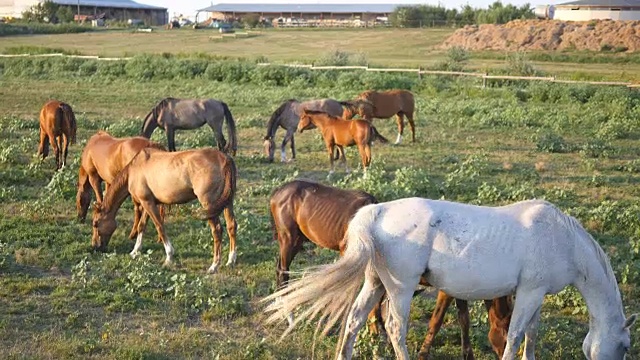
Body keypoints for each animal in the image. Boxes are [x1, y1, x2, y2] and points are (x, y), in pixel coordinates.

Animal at [92, 146, 238, 272]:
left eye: (96, 223)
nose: (96, 247)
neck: (135, 168)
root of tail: (224, 158)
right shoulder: (149, 202)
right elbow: (141, 225)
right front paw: (135, 251)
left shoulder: (147, 203)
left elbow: (159, 226)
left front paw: (169, 256)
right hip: (227, 204)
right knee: (231, 226)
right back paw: (231, 260)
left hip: (208, 204)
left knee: (217, 230)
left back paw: (214, 265)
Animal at [264, 198, 636, 360]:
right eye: (625, 346)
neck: (562, 239)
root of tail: (376, 211)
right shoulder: (530, 291)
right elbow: (516, 335)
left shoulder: (537, 294)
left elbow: (530, 333)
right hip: (400, 288)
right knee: (395, 328)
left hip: (375, 283)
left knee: (354, 321)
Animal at [270, 180, 516, 360]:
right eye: (505, 332)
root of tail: (276, 193)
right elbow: (439, 320)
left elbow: (461, 319)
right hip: (289, 240)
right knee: (283, 272)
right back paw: (289, 317)